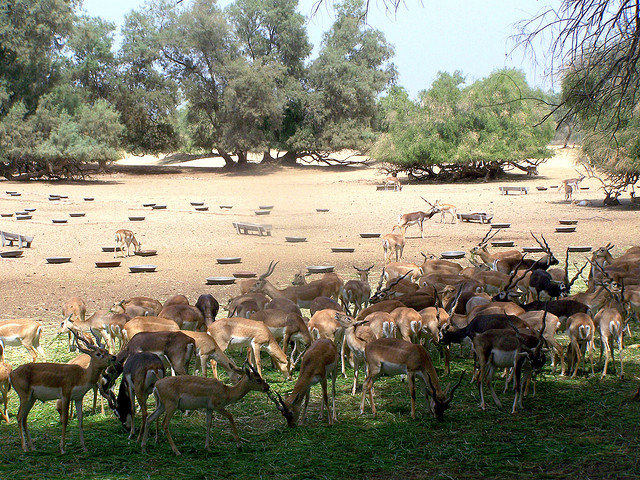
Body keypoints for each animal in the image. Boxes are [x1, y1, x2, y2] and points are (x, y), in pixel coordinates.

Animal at [140, 364, 268, 454]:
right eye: (257, 379)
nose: (267, 387)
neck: (227, 392)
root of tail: (156, 385)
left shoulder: (209, 408)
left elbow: (208, 423)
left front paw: (208, 447)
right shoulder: (217, 406)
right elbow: (230, 416)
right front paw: (239, 446)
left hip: (161, 405)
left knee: (150, 418)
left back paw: (144, 448)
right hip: (171, 405)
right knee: (164, 424)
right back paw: (176, 451)